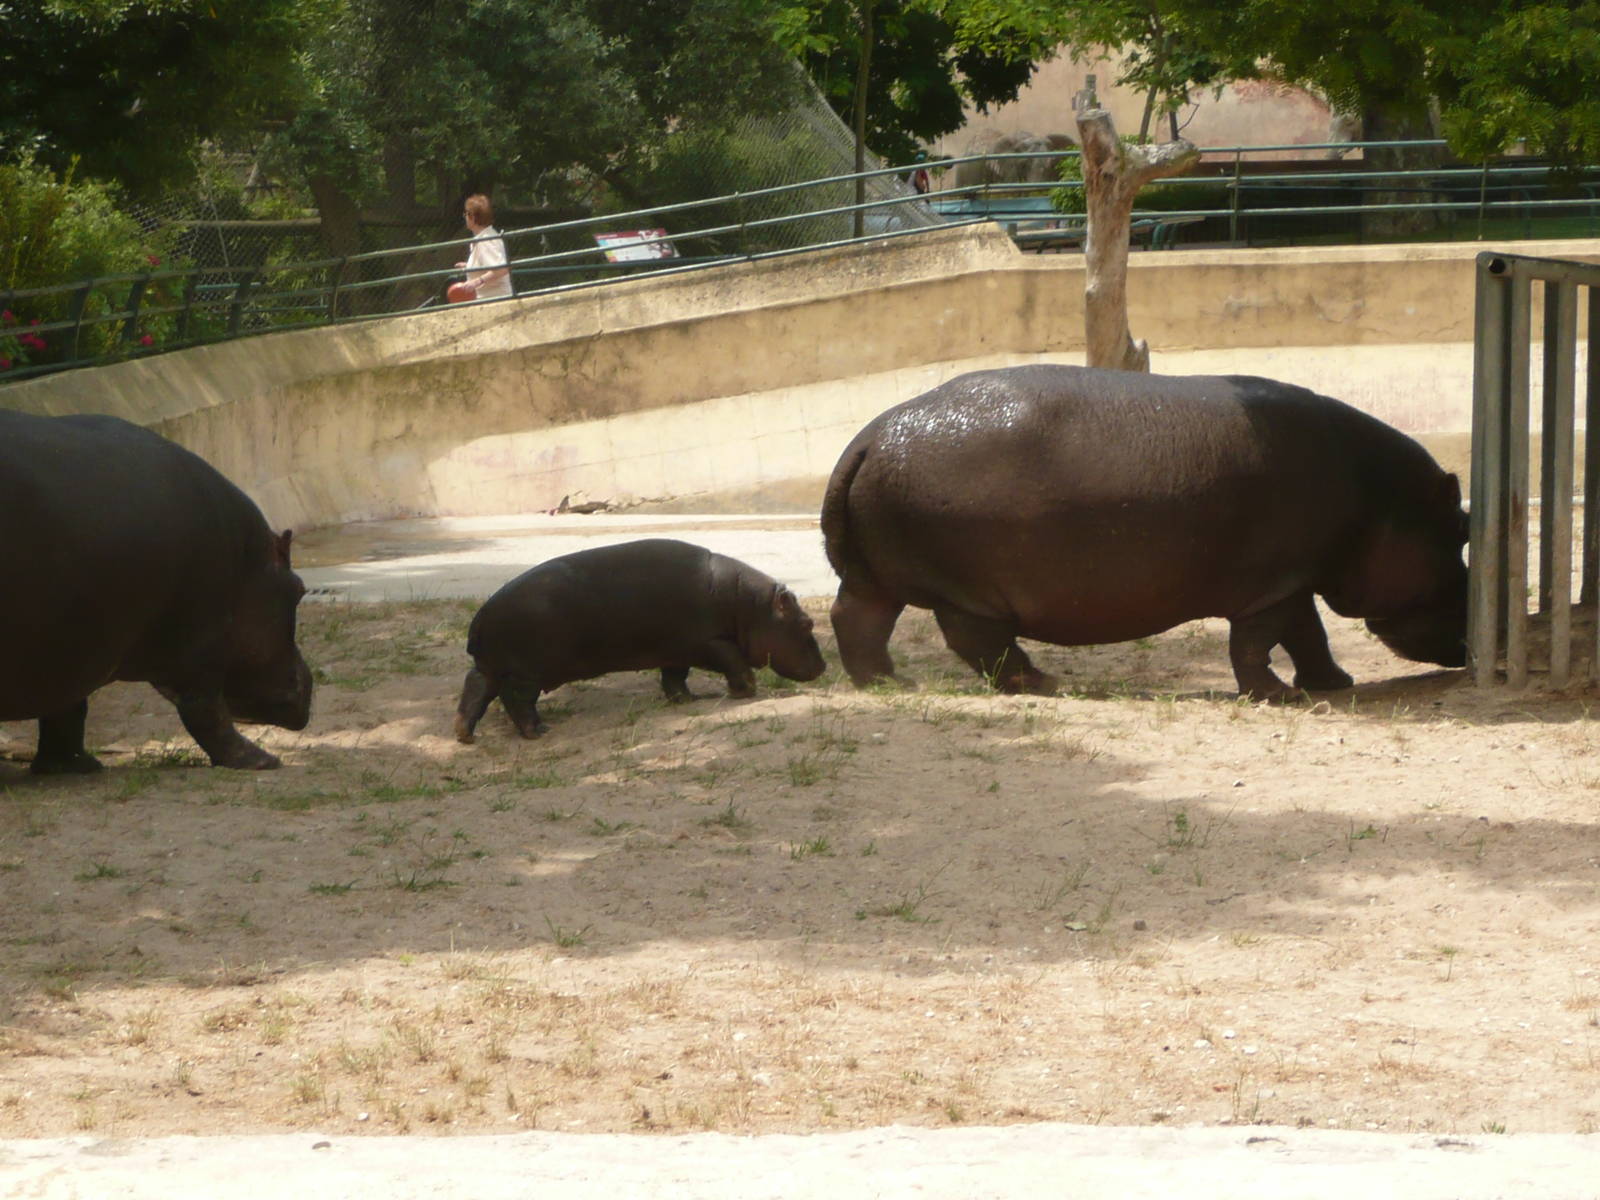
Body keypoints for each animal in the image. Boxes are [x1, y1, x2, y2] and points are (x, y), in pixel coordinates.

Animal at [0, 411, 313, 772]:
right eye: (300, 590)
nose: (308, 680)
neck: (249, 561)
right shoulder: (202, 646)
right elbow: (206, 713)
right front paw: (262, 760)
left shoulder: (70, 652)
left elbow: (68, 710)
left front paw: (76, 766)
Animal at [454, 538, 827, 742]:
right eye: (807, 622)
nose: (824, 666)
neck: (750, 606)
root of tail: (479, 620)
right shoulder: (711, 642)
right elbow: (735, 663)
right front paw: (743, 694)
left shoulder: (677, 650)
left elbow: (674, 679)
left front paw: (687, 700)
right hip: (527, 673)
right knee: (516, 700)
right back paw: (539, 731)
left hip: (492, 667)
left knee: (475, 689)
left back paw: (465, 735)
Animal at [821, 364, 1469, 699]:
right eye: (1461, 531)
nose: (1469, 646)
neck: (1381, 496)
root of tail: (869, 436)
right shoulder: (1275, 585)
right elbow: (1260, 643)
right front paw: (1281, 695)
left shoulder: (1295, 580)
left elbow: (1308, 636)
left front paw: (1334, 684)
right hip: (970, 589)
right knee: (977, 641)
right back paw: (1044, 682)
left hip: (876, 576)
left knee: (857, 620)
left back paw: (888, 683)